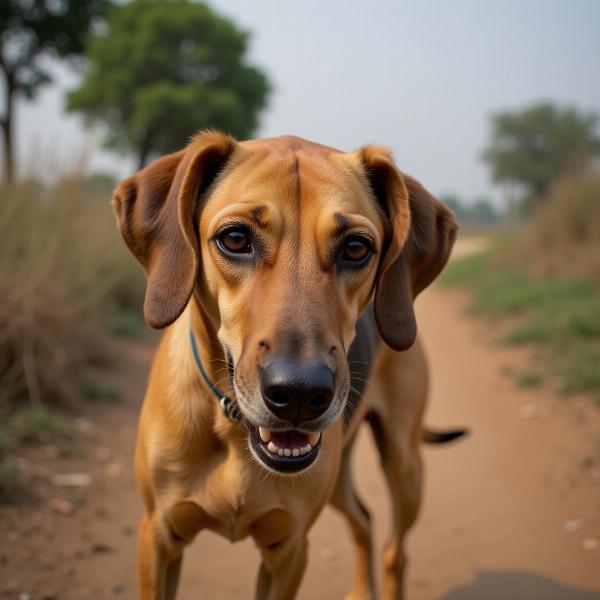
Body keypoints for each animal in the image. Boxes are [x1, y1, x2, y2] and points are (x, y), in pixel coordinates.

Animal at [115, 132, 466, 600]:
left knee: (396, 549)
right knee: (364, 520)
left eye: (357, 248)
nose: (300, 393)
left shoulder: (289, 550)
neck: (234, 435)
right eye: (235, 239)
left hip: (403, 462)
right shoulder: (158, 537)